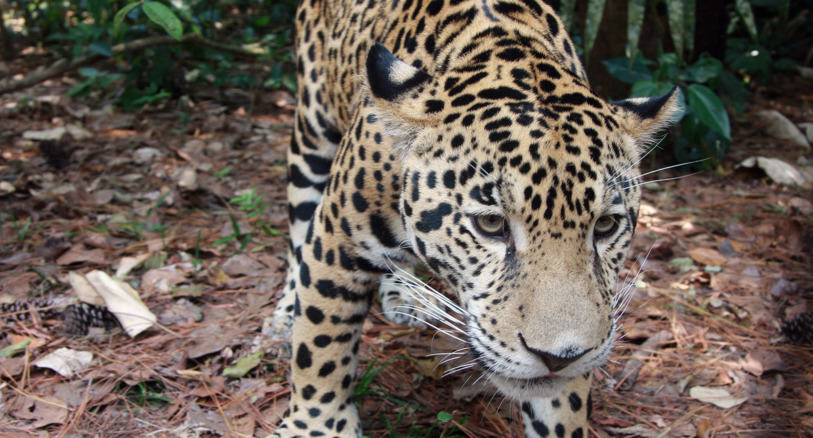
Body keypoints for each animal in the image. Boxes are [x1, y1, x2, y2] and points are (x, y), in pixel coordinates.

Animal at [271, 0, 680, 436]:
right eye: (490, 225)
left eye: (605, 226)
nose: (561, 356)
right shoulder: (338, 239)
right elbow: (321, 342)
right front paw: (317, 426)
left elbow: (563, 404)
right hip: (311, 136)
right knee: (298, 232)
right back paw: (285, 314)